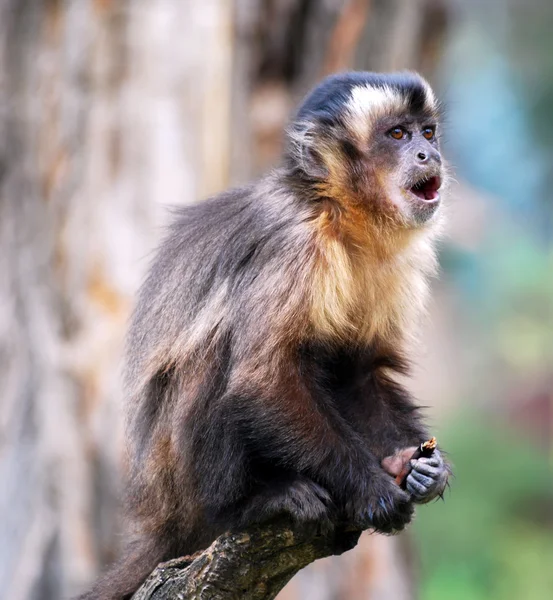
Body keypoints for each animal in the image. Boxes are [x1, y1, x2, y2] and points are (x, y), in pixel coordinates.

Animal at [77, 71, 448, 600]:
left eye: (428, 133)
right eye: (397, 135)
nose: (427, 155)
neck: (339, 211)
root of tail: (160, 518)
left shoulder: (395, 263)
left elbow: (358, 374)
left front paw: (419, 469)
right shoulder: (295, 245)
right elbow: (262, 377)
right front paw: (370, 488)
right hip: (179, 487)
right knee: (219, 351)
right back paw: (247, 504)